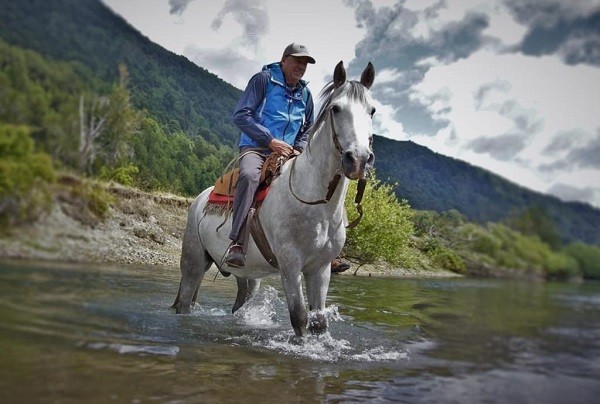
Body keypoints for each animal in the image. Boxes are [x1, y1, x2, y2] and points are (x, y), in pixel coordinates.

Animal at [171, 60, 376, 338]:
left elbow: (319, 323)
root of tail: (200, 200)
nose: (359, 159)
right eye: (336, 108)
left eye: (372, 110)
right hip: (193, 263)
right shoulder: (290, 264)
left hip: (248, 277)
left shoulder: (320, 268)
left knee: (239, 305)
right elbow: (299, 318)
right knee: (184, 301)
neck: (314, 203)